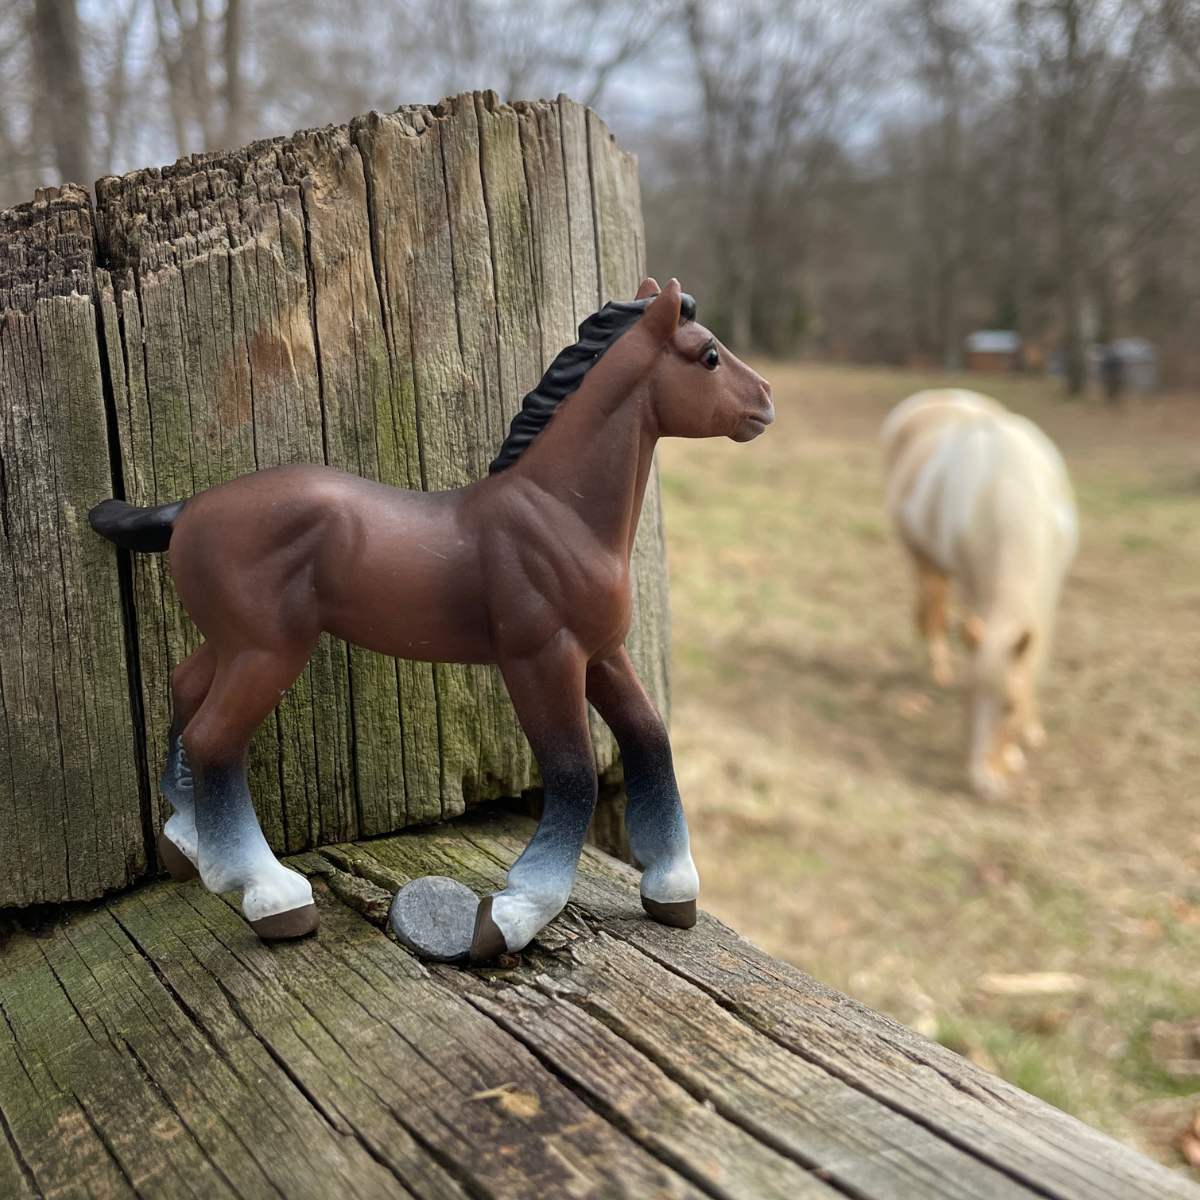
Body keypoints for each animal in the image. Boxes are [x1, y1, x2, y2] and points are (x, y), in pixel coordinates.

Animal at [88, 278, 772, 955]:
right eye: (709, 356)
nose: (766, 400)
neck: (559, 514)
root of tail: (187, 509)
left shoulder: (601, 653)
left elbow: (649, 737)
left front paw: (672, 888)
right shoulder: (541, 658)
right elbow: (574, 770)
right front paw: (516, 912)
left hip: (235, 643)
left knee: (184, 692)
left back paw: (188, 845)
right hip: (269, 650)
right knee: (214, 739)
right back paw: (272, 895)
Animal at [883, 391, 1080, 796]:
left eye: (1009, 705)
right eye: (967, 697)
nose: (983, 783)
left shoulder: (1050, 593)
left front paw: (1032, 731)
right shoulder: (975, 589)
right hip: (920, 554)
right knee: (932, 608)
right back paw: (937, 667)